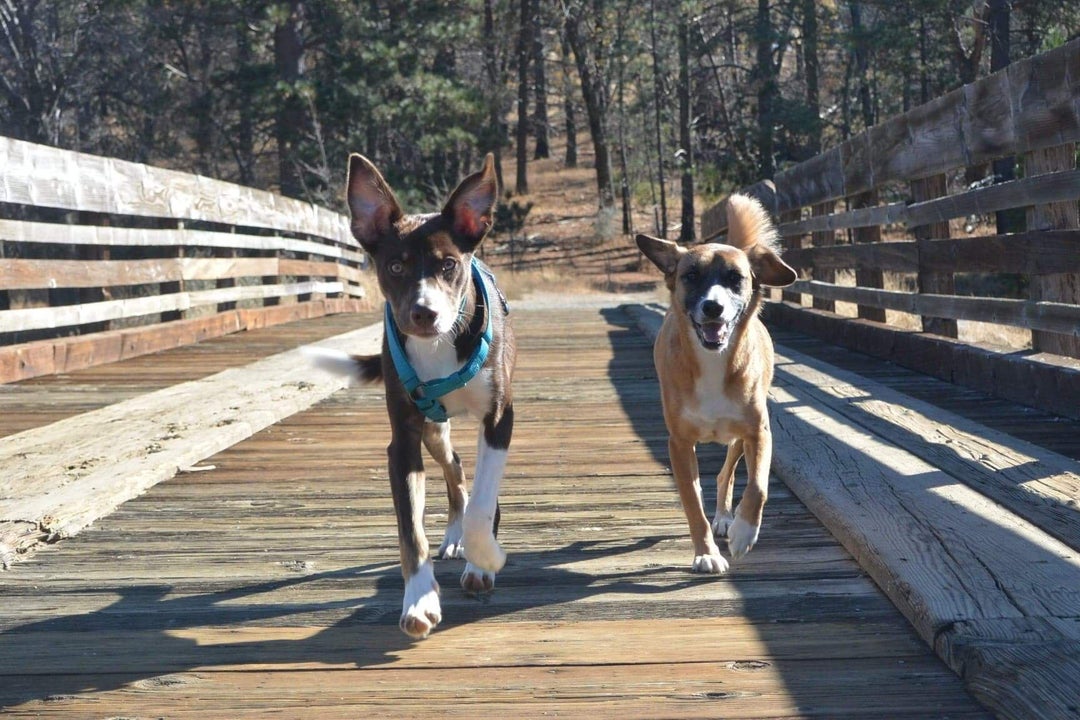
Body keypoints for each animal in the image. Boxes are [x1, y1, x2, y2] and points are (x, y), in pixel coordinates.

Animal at [313, 155, 514, 639]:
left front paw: (487, 557)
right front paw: (420, 600)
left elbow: (484, 504)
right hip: (432, 428)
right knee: (454, 467)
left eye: (449, 265)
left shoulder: (499, 418)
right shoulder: (403, 439)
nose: (425, 313)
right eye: (396, 267)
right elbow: (410, 531)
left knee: (472, 486)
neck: (441, 346)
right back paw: (454, 535)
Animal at [635, 193, 799, 574]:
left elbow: (759, 486)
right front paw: (706, 552)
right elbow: (692, 504)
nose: (713, 307)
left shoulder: (759, 432)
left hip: (739, 436)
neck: (712, 361)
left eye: (735, 278)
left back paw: (727, 518)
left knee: (728, 474)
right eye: (691, 275)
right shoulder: (679, 444)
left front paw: (743, 532)